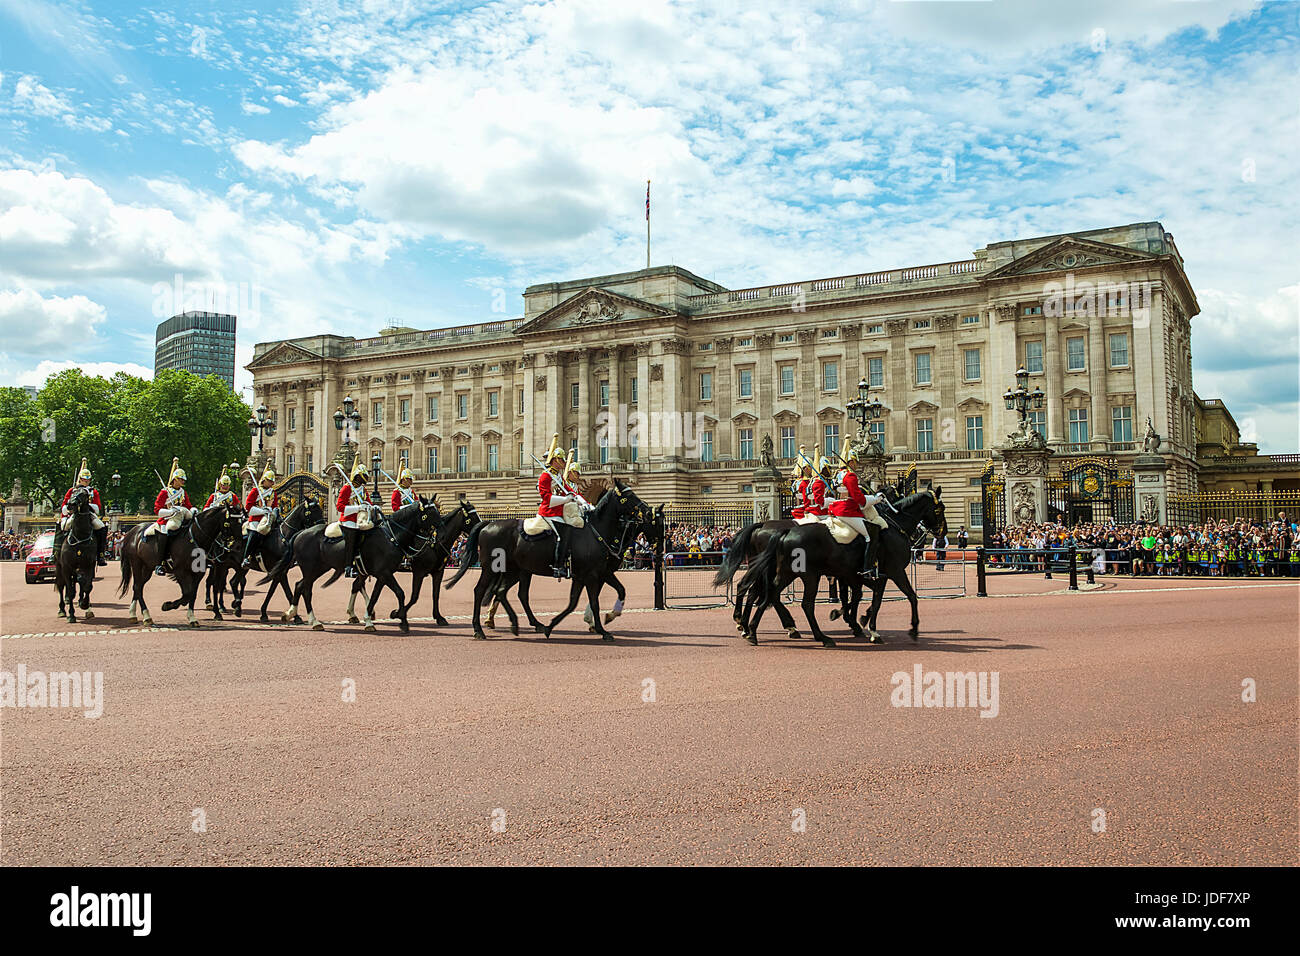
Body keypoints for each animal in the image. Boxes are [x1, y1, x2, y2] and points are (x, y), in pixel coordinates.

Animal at [54, 489, 98, 624]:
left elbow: (87, 586)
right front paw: (71, 615)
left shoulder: (89, 566)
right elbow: (70, 590)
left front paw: (84, 604)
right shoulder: (67, 568)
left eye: (84, 494)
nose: (71, 504)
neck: (79, 537)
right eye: (73, 492)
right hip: (60, 568)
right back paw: (62, 610)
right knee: (61, 586)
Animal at [118, 504, 235, 632]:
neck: (194, 537)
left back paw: (135, 615)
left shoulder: (199, 573)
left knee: (138, 587)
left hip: (147, 568)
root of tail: (133, 531)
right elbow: (187, 594)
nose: (230, 546)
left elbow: (192, 594)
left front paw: (192, 618)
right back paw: (145, 617)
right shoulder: (180, 571)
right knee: (137, 587)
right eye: (232, 521)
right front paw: (167, 606)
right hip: (137, 564)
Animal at [261, 496, 439, 632]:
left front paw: (369, 620)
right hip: (311, 569)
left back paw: (294, 614)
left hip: (320, 568)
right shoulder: (384, 573)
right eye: (430, 514)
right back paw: (314, 621)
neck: (391, 536)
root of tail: (300, 533)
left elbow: (375, 597)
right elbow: (400, 593)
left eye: (437, 511)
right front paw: (402, 620)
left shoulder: (382, 575)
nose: (439, 533)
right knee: (306, 589)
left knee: (299, 585)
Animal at [444, 478, 650, 642]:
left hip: (515, 570)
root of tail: (488, 524)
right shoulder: (592, 575)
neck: (595, 532)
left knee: (504, 592)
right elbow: (594, 602)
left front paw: (553, 626)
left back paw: (519, 624)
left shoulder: (588, 574)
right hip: (491, 568)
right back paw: (479, 629)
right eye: (629, 496)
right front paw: (602, 630)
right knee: (481, 591)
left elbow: (579, 601)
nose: (648, 511)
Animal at [738, 489, 951, 647]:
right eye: (940, 508)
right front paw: (903, 629)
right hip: (807, 576)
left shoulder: (860, 574)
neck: (894, 526)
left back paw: (752, 630)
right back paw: (817, 636)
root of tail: (783, 531)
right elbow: (903, 597)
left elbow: (859, 597)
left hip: (786, 573)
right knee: (799, 602)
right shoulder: (892, 572)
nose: (943, 532)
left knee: (765, 594)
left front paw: (857, 620)